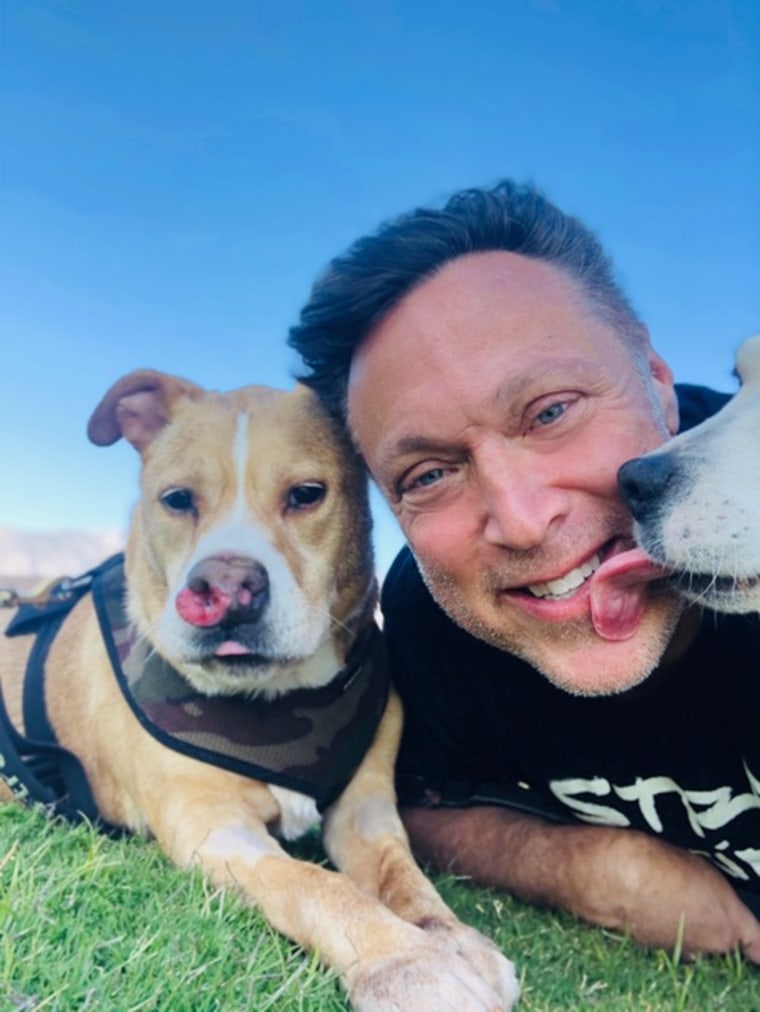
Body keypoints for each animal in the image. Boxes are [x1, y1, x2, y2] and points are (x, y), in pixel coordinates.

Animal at [0, 372, 518, 1011]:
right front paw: (409, 963)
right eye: (177, 499)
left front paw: (451, 938)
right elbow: (314, 884)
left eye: (307, 493)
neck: (280, 695)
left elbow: (404, 877)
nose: (225, 588)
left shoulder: (367, 815)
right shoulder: (214, 832)